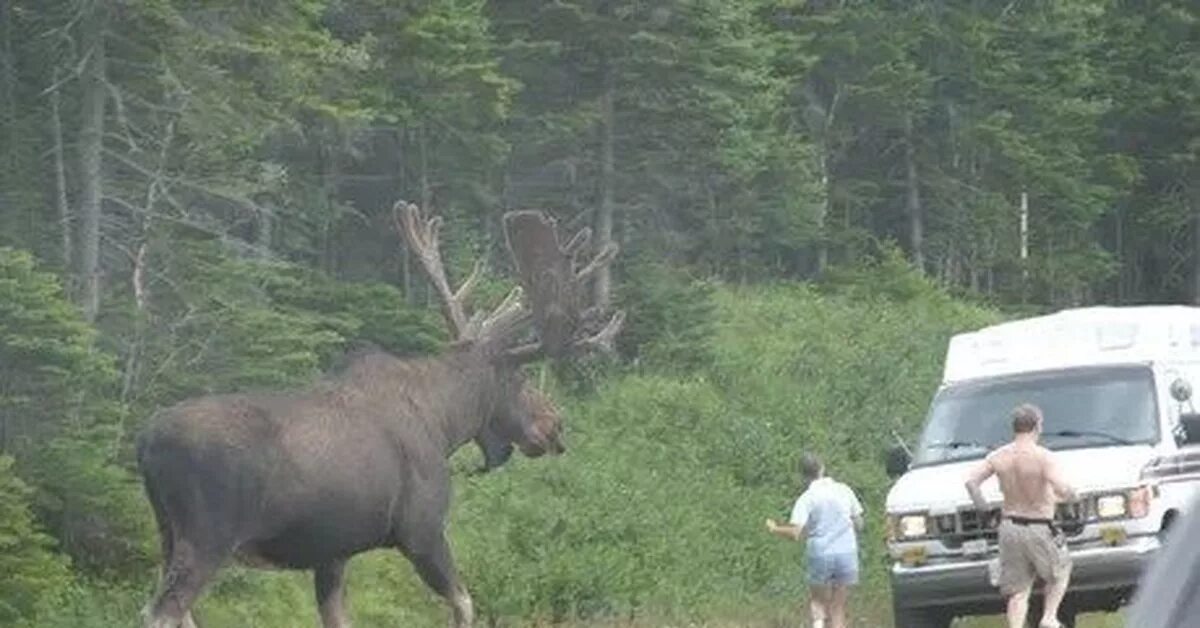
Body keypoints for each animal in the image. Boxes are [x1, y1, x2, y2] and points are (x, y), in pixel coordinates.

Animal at [138, 202, 628, 628]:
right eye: (522, 378)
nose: (555, 425)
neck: (445, 422)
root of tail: (145, 443)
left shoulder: (332, 553)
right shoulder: (422, 530)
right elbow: (465, 604)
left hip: (167, 533)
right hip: (208, 535)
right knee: (162, 611)